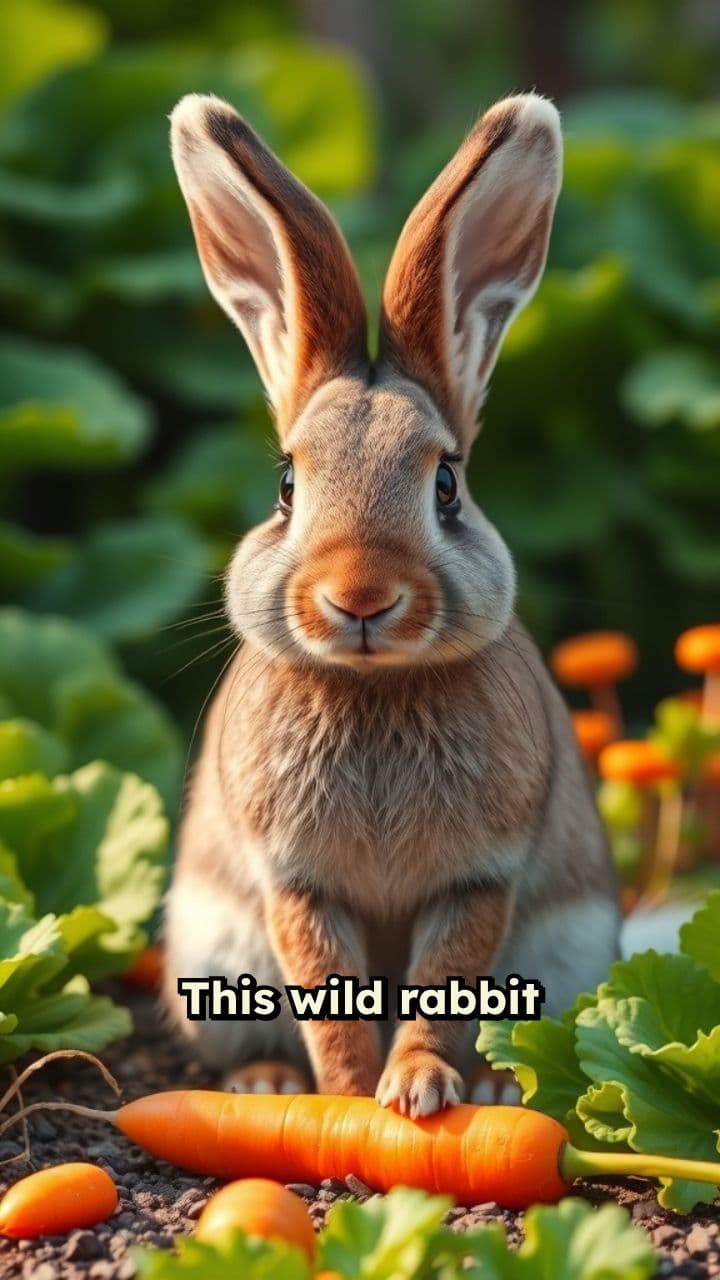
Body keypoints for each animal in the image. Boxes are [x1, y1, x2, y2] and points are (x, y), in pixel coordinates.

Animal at [163, 90, 621, 1118]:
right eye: (287, 483)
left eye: (446, 484)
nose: (360, 596)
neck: (373, 685)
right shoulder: (296, 883)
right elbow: (330, 995)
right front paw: (344, 1099)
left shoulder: (477, 879)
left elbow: (441, 982)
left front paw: (418, 1092)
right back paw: (263, 1084)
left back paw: (494, 1086)